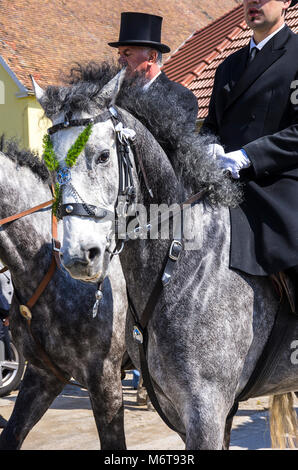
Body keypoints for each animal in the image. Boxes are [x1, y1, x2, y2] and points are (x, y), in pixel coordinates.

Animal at [33, 69, 298, 448]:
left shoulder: (207, 411)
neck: (184, 264)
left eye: (103, 156)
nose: (79, 255)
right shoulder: (188, 412)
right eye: (49, 163)